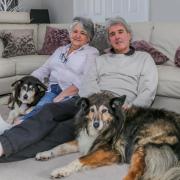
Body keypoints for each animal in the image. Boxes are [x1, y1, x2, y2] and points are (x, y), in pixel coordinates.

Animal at [35, 91, 180, 180]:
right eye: (92, 110)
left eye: (105, 111)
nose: (96, 124)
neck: (108, 126)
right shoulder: (86, 141)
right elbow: (61, 146)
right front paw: (45, 153)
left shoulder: (110, 151)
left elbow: (80, 159)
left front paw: (61, 170)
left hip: (141, 144)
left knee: (135, 173)